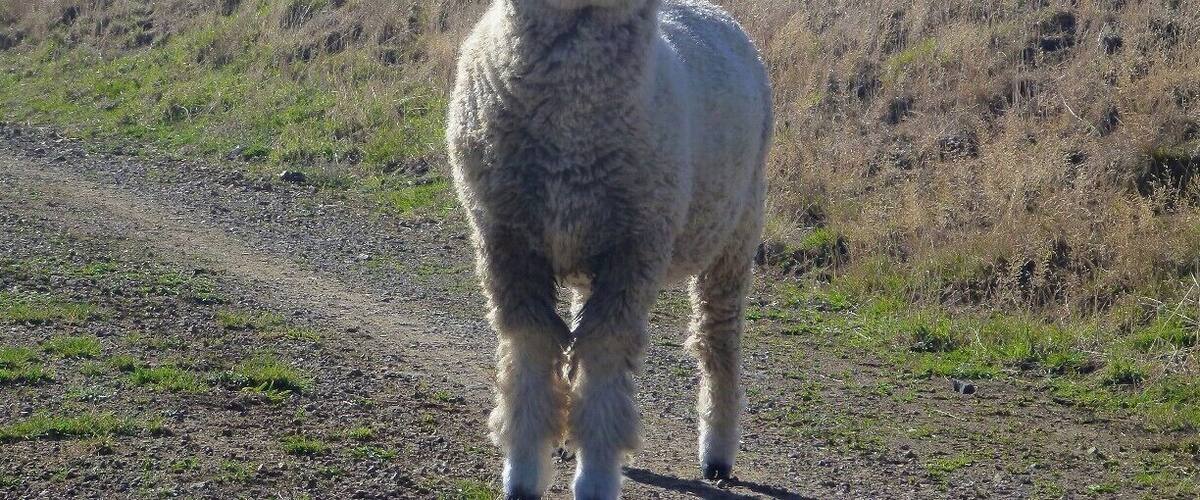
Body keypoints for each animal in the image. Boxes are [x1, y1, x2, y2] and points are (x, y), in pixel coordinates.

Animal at [446, 0, 772, 498]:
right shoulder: (507, 244)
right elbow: (530, 351)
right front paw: (524, 470)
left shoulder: (635, 253)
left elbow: (604, 354)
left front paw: (596, 474)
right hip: (589, 242)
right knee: (579, 325)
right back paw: (567, 437)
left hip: (735, 235)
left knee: (718, 340)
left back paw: (717, 452)